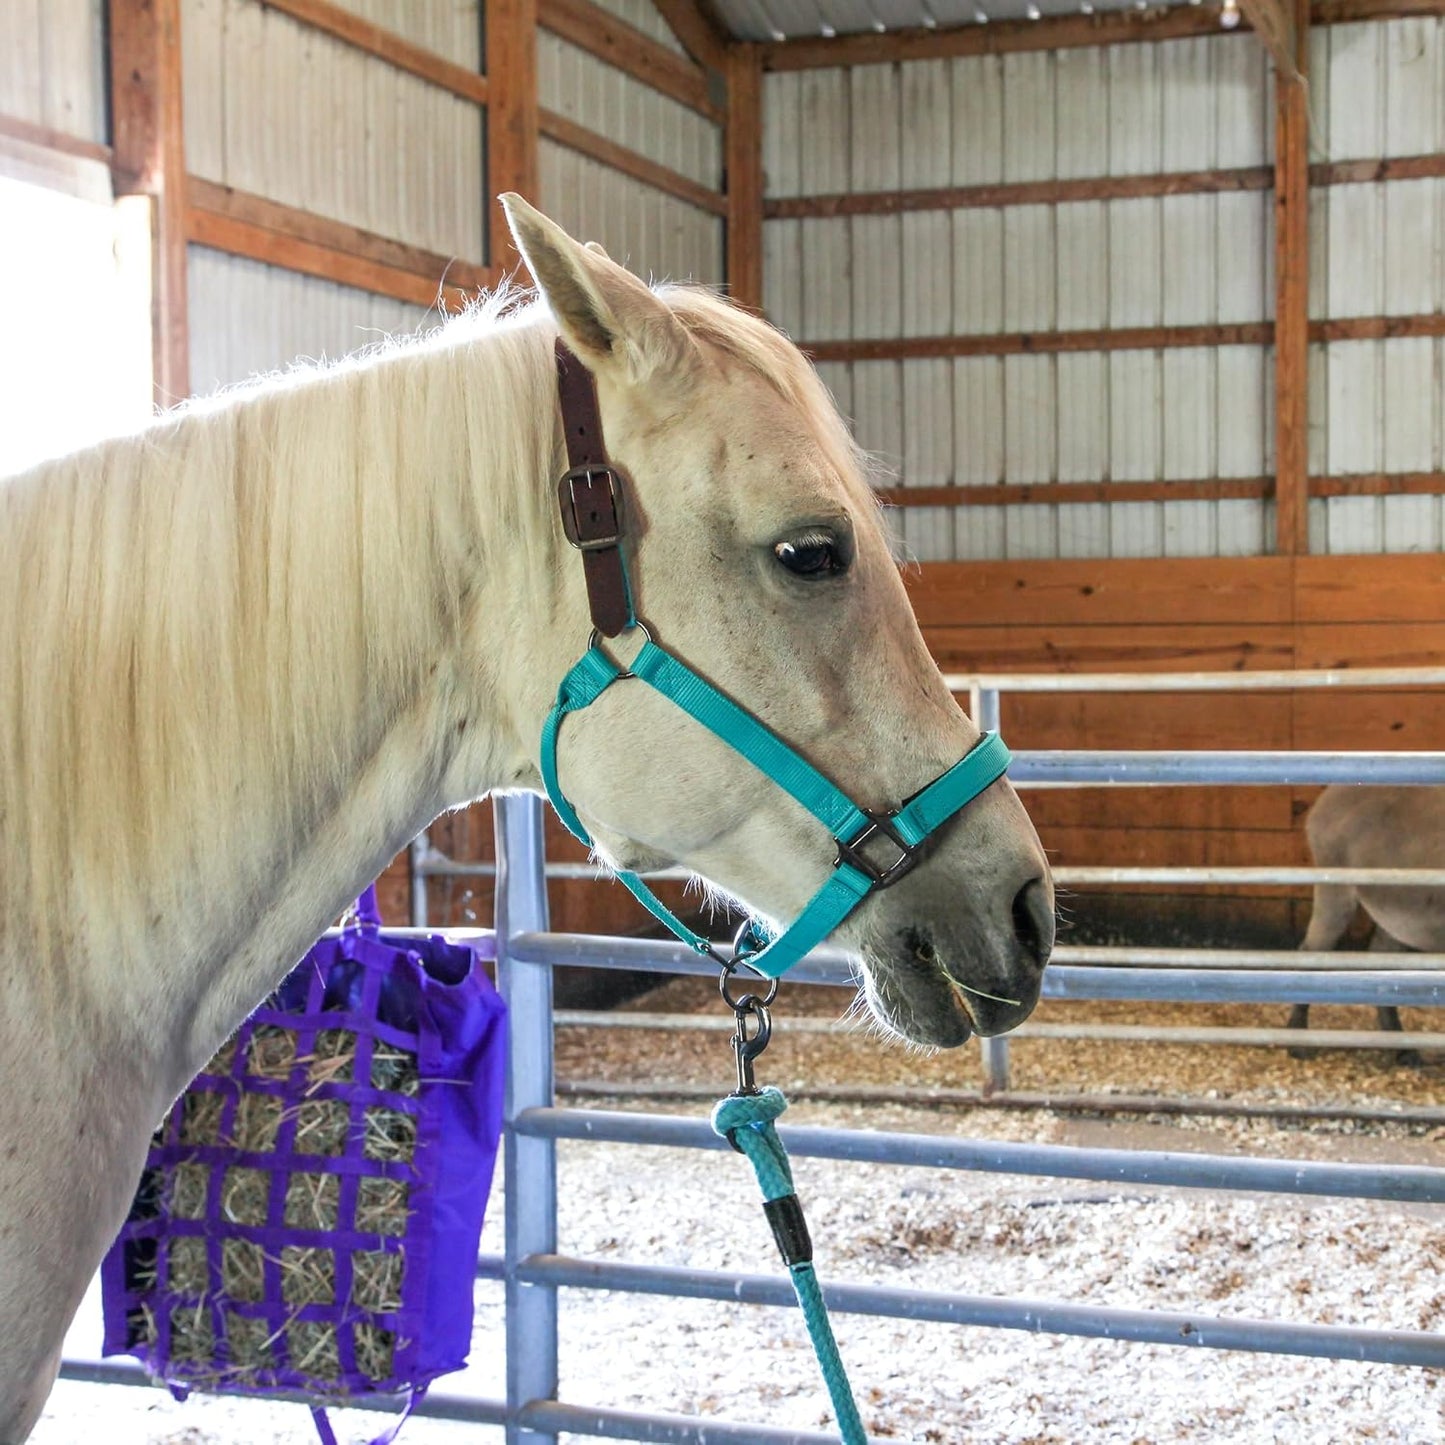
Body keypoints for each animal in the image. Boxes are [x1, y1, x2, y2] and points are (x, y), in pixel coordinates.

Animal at [1286, 785, 1443, 1064]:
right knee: (1311, 953)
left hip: (1394, 913)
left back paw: (1403, 1049)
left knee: (1382, 964)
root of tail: (1331, 793)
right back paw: (1298, 1044)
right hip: (1335, 887)